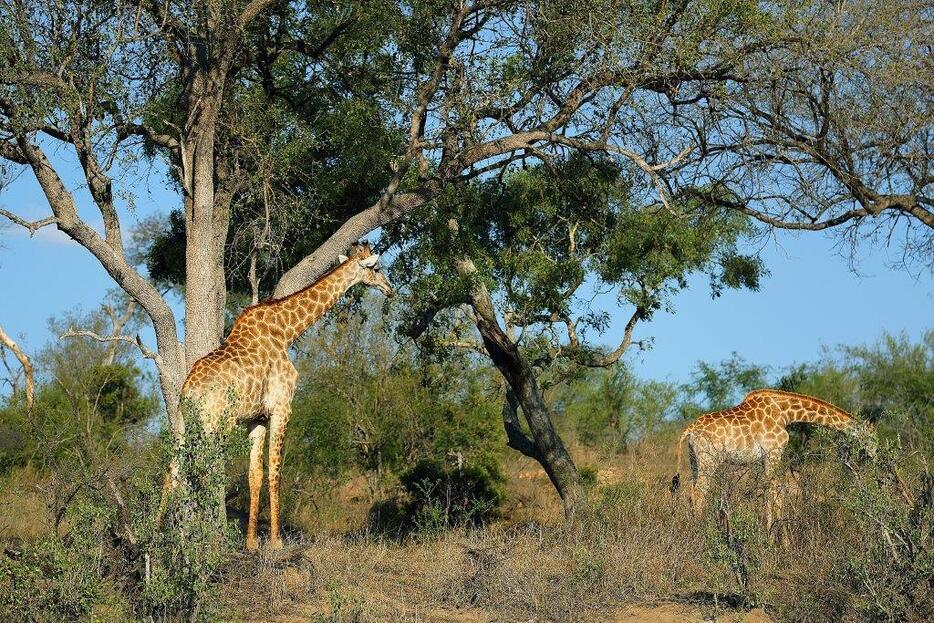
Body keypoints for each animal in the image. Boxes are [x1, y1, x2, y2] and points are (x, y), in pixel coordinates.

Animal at [165, 244, 392, 552]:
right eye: (377, 268)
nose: (390, 290)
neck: (286, 331)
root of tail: (188, 390)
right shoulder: (282, 408)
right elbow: (275, 471)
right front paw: (276, 540)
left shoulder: (257, 419)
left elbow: (254, 475)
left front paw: (251, 542)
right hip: (215, 424)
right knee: (202, 469)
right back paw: (202, 540)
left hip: (183, 423)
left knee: (173, 470)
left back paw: (158, 536)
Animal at [672, 390, 872, 532]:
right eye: (872, 436)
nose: (873, 455)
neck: (786, 413)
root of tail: (689, 430)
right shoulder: (774, 452)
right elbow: (773, 491)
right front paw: (773, 538)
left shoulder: (765, 458)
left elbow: (771, 490)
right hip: (709, 460)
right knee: (698, 493)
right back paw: (700, 532)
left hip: (695, 460)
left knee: (691, 492)